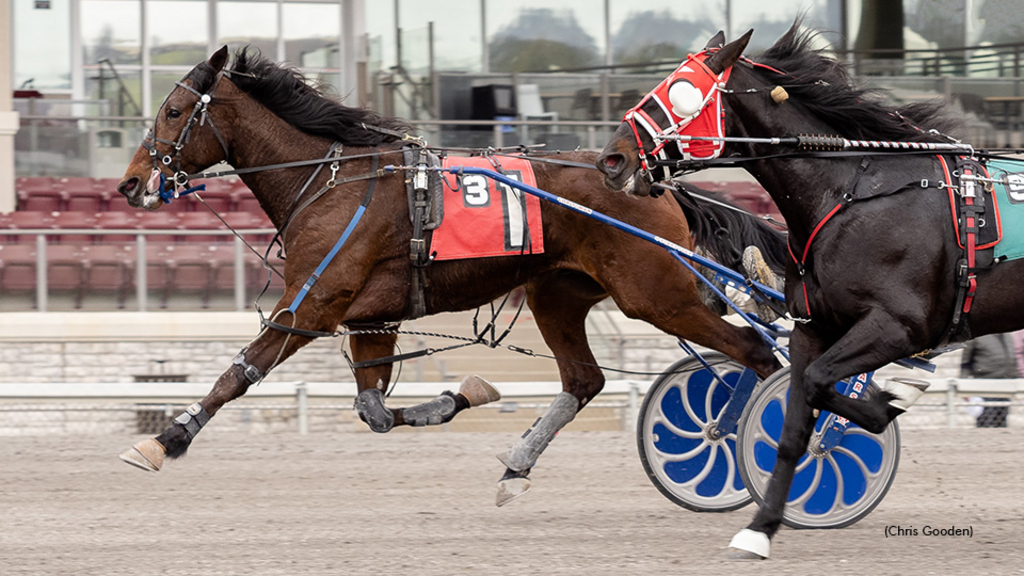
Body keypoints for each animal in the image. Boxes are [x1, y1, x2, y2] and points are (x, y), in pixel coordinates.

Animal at [114, 45, 782, 502]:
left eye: (174, 110)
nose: (129, 182)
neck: (332, 182)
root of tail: (650, 179)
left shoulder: (312, 304)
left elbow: (239, 373)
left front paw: (164, 441)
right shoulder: (373, 317)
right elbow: (376, 412)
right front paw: (461, 393)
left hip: (657, 295)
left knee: (756, 352)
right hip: (558, 295)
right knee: (584, 380)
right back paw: (516, 466)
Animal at [598, 26, 1024, 557]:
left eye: (680, 91)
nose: (611, 158)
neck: (851, 193)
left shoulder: (899, 327)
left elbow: (826, 385)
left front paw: (886, 402)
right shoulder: (811, 328)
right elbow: (794, 424)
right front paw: (759, 529)